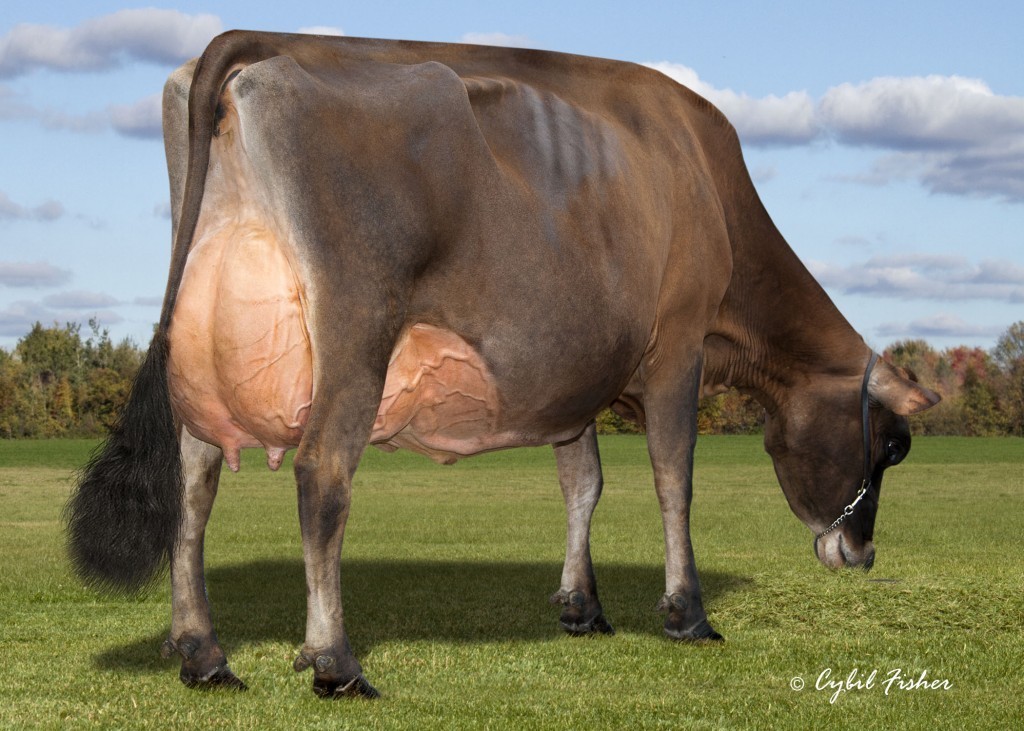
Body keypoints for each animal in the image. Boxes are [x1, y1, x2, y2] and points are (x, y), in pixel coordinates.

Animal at [65, 31, 940, 698]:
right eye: (893, 447)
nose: (861, 552)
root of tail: (261, 44)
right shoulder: (677, 348)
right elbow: (673, 478)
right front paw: (686, 612)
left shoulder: (576, 378)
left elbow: (583, 483)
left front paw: (582, 607)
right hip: (356, 333)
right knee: (322, 477)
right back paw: (336, 663)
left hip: (206, 353)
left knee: (193, 485)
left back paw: (203, 653)